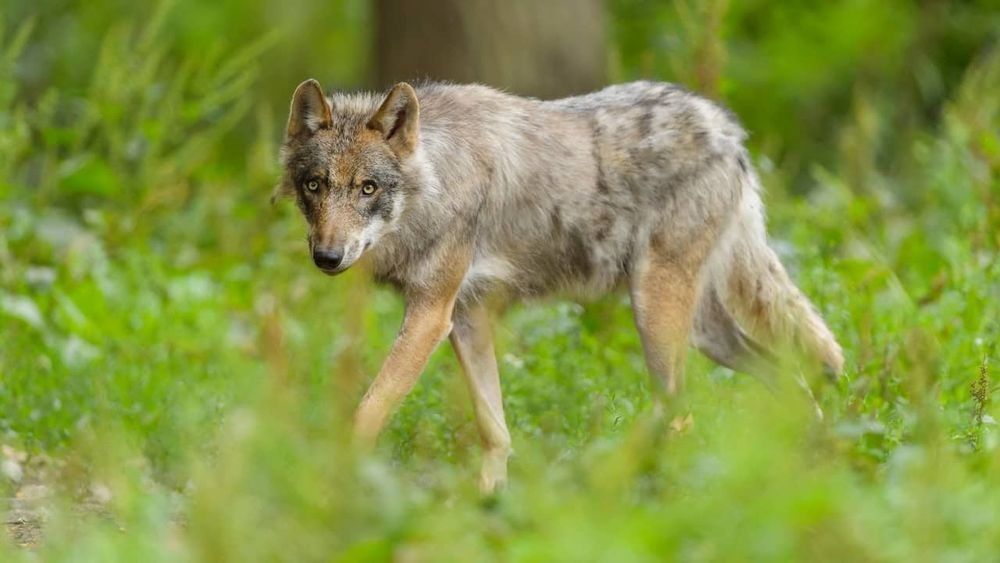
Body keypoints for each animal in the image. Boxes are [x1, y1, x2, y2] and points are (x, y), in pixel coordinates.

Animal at [274, 77, 844, 492]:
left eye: (367, 188)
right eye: (315, 186)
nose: (327, 257)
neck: (436, 182)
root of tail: (725, 129)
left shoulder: (431, 315)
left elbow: (367, 413)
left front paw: (334, 483)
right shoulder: (466, 318)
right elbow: (495, 430)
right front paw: (488, 504)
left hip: (655, 315)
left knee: (681, 409)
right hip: (704, 332)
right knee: (791, 379)